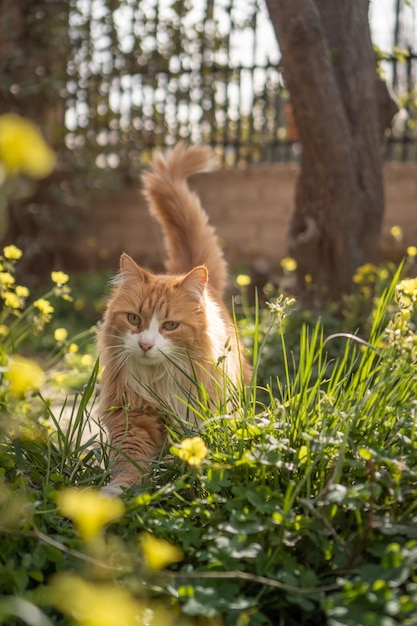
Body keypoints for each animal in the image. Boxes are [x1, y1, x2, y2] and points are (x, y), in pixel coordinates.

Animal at [96, 143, 250, 492]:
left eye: (170, 326)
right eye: (134, 319)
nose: (145, 344)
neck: (160, 383)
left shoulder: (193, 419)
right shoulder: (134, 419)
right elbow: (129, 465)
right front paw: (117, 490)